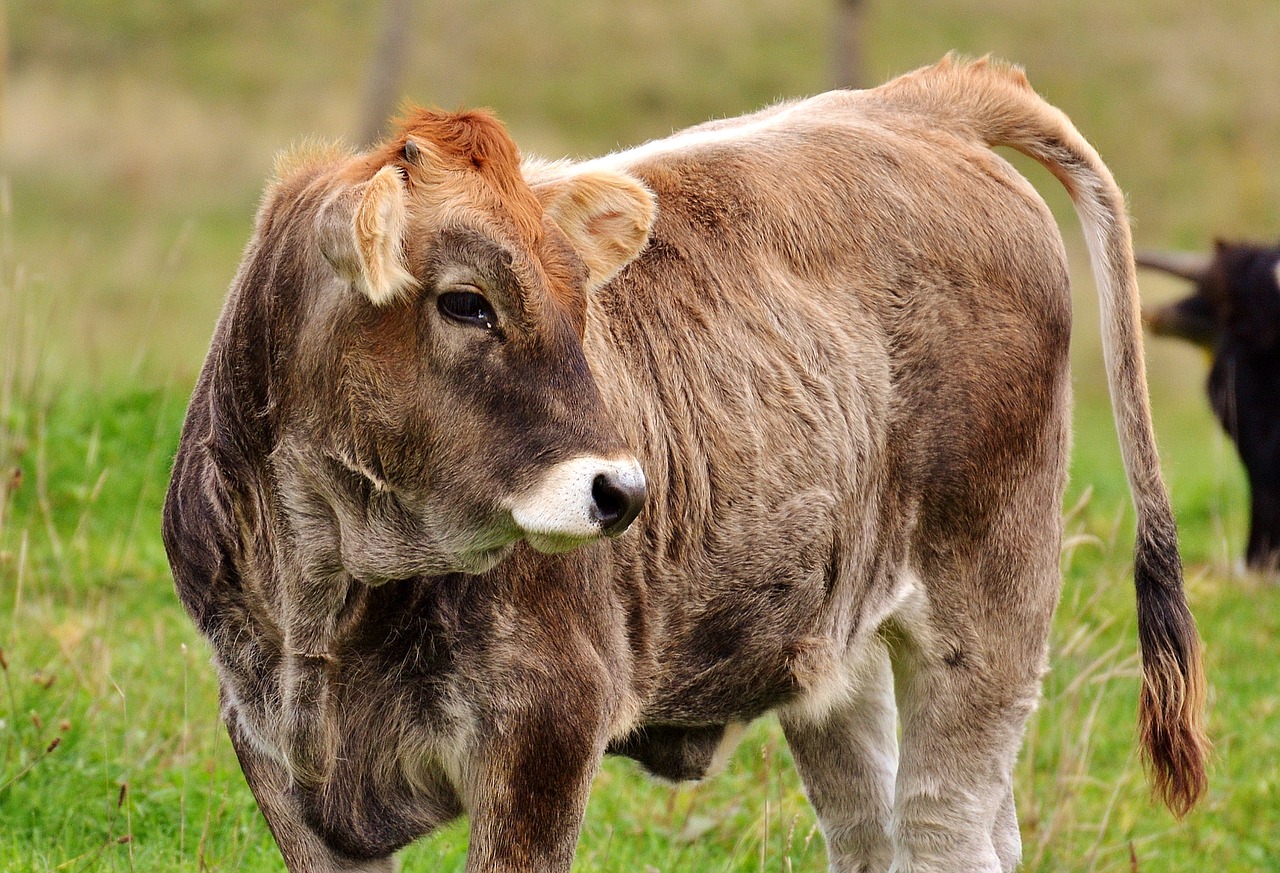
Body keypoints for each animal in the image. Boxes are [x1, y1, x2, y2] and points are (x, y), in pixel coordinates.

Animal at [165, 57, 1203, 865]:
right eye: (465, 301)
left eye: (581, 303)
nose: (623, 490)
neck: (328, 590)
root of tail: (918, 102)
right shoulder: (271, 753)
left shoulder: (546, 731)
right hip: (839, 643)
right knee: (885, 827)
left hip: (989, 608)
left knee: (943, 827)